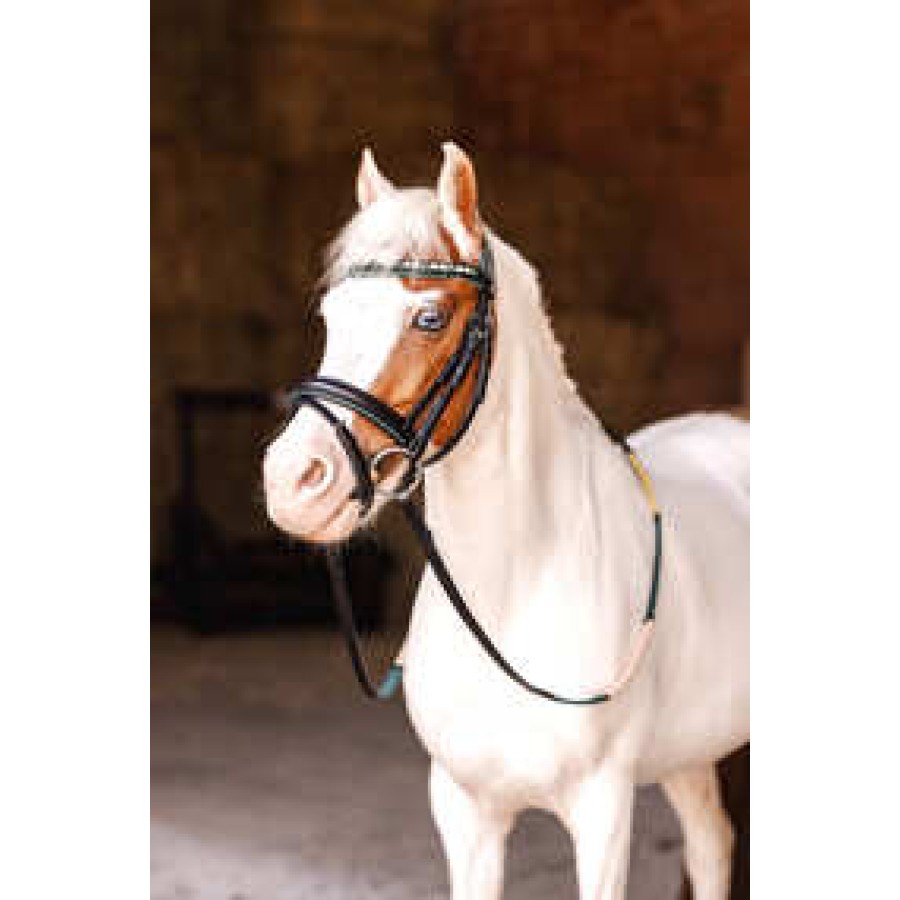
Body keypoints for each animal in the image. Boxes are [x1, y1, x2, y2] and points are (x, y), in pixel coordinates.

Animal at [262, 143, 749, 900]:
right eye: (332, 314)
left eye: (430, 318)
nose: (293, 482)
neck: (515, 591)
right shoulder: (465, 811)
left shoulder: (604, 813)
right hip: (689, 752)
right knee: (711, 845)